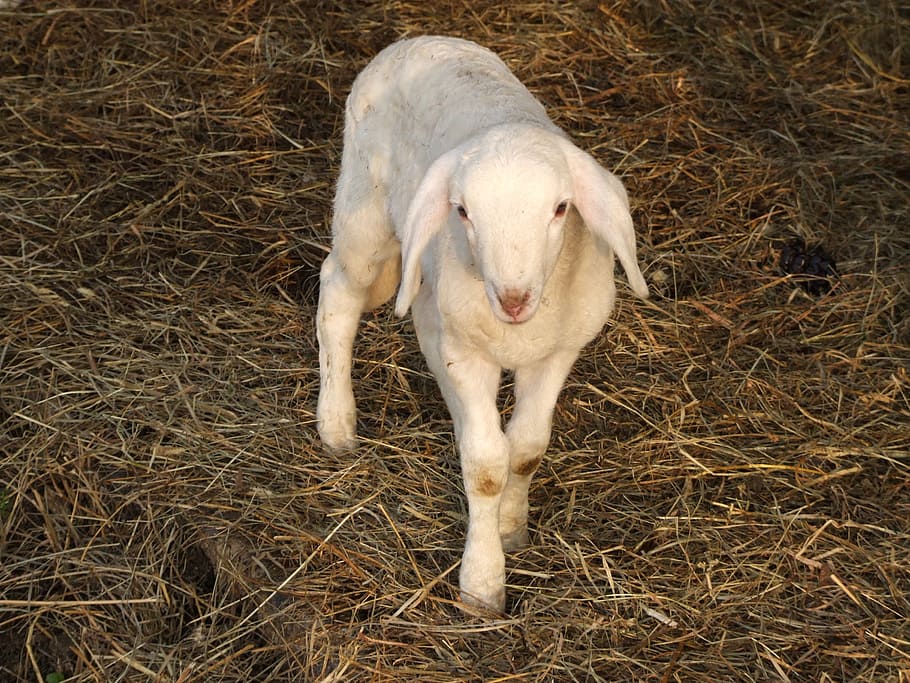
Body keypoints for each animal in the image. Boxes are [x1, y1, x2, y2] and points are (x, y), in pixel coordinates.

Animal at [316, 35, 649, 612]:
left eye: (561, 208)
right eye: (463, 212)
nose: (514, 300)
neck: (516, 332)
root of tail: (420, 39)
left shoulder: (557, 352)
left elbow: (527, 449)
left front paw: (512, 528)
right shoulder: (461, 353)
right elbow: (488, 464)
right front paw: (482, 583)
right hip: (364, 206)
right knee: (337, 291)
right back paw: (336, 424)